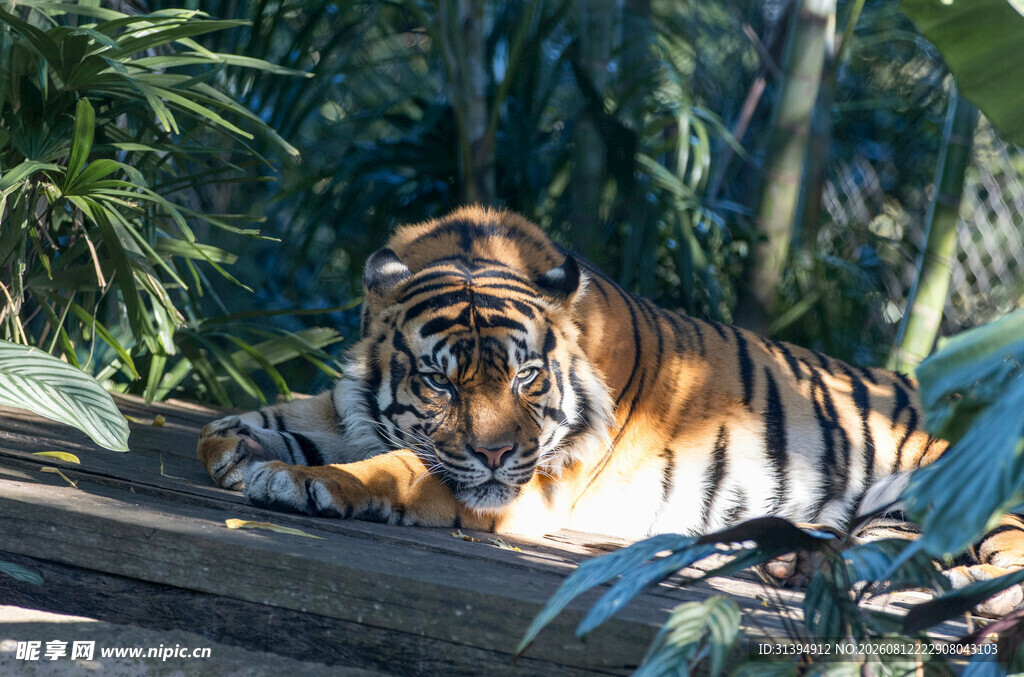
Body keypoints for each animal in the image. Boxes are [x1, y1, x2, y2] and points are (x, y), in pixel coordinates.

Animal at [198, 206, 1024, 615]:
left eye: (526, 377)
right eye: (440, 382)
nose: (495, 453)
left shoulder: (528, 484)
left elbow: (396, 467)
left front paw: (303, 481)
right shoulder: (355, 406)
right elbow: (267, 421)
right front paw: (240, 444)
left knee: (986, 570)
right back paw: (790, 557)